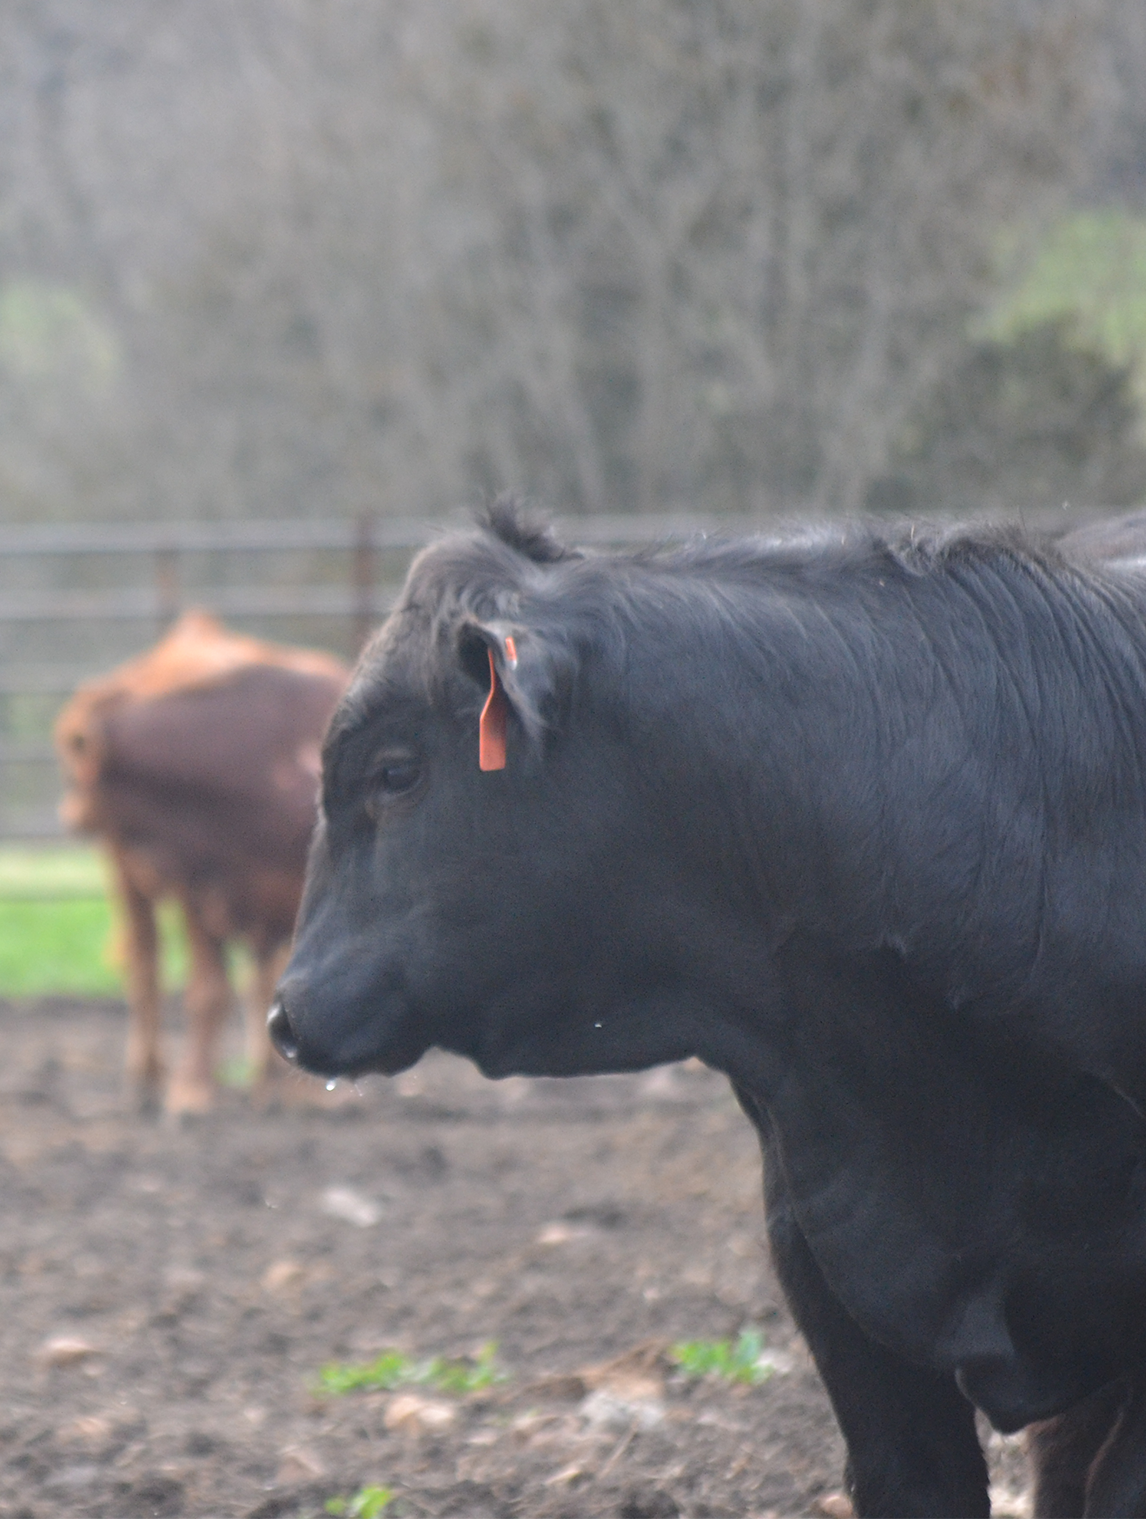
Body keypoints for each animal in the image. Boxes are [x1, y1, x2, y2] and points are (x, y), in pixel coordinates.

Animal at [56, 610, 347, 1115]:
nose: (69, 812)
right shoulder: (198, 884)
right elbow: (207, 991)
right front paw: (192, 1090)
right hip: (129, 877)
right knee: (147, 968)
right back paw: (149, 1078)